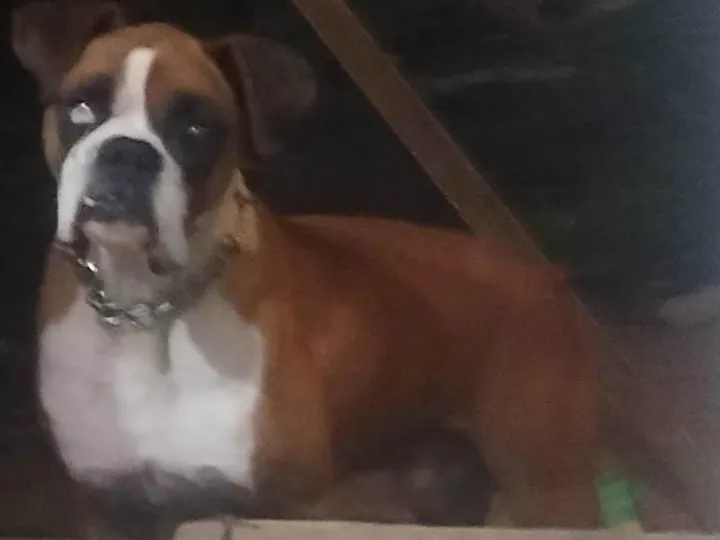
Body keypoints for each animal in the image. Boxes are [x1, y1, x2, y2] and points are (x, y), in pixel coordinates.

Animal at [13, 0, 600, 537]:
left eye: (199, 128)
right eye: (81, 107)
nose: (129, 153)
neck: (147, 308)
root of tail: (541, 274)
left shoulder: (295, 507)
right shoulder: (107, 508)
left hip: (546, 489)